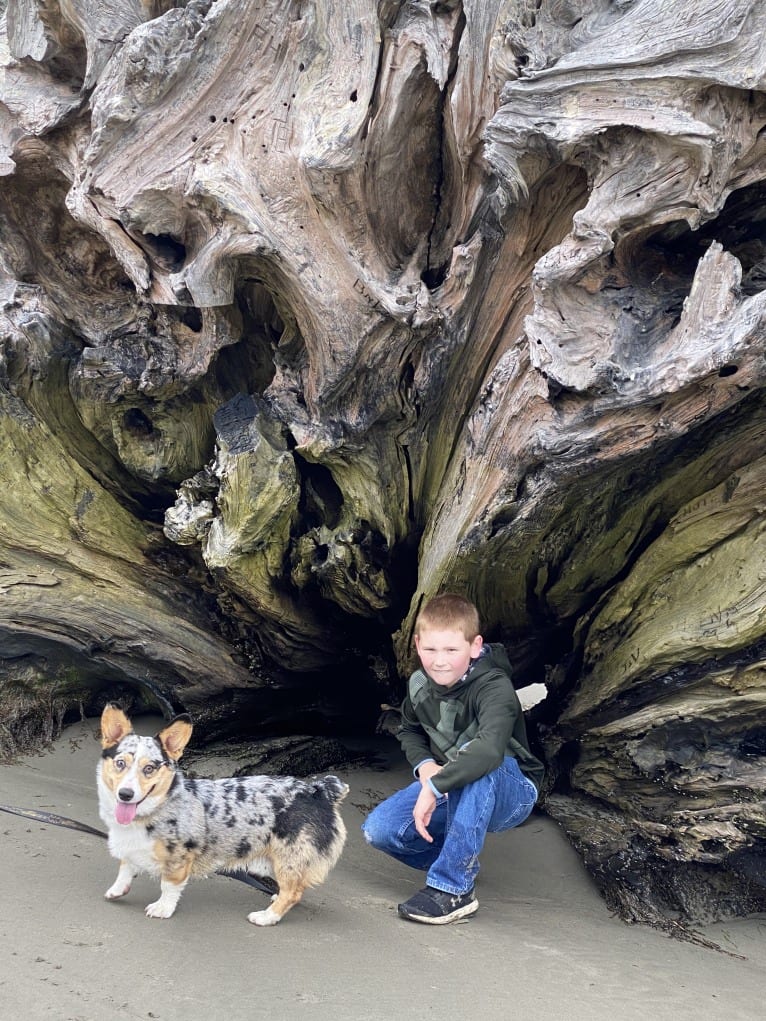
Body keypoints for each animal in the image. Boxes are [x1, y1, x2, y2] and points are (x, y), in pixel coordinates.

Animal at [97, 702, 349, 927]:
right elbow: (125, 869)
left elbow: (168, 885)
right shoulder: (131, 848)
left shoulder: (179, 859)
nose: (126, 794)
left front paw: (162, 909)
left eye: (149, 768)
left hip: (289, 857)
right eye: (120, 763)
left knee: (293, 892)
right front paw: (117, 890)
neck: (154, 808)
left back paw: (266, 917)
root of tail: (320, 791)